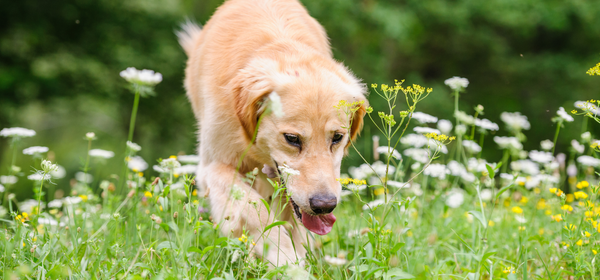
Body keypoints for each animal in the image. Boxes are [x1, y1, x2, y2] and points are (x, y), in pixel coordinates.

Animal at [176, 0, 368, 264]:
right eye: (292, 139)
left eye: (337, 138)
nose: (324, 205)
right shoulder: (213, 167)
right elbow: (254, 210)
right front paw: (284, 258)